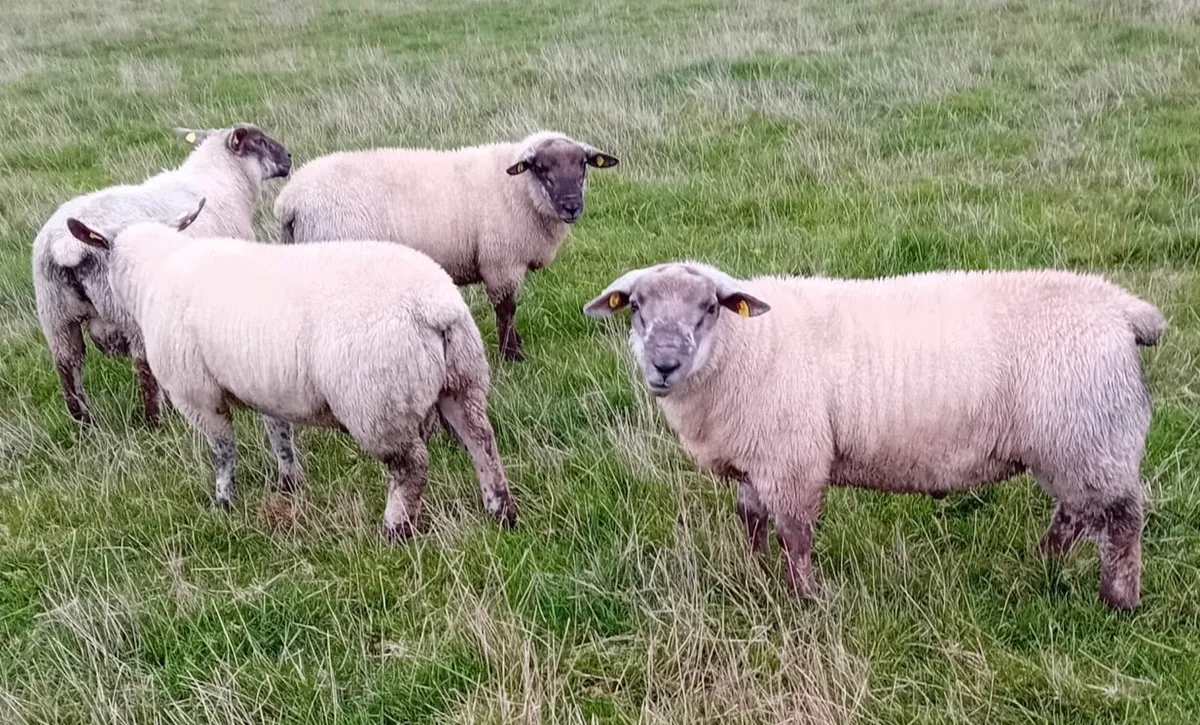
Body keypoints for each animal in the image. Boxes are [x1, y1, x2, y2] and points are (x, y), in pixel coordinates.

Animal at [31, 123, 292, 426]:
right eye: (259, 141)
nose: (289, 158)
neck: (224, 181)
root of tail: (66, 245)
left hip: (56, 316)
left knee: (67, 367)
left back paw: (85, 424)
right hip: (124, 311)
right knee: (143, 365)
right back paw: (156, 421)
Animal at [63, 200, 517, 538]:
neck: (156, 272)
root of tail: (436, 308)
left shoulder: (198, 395)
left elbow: (223, 451)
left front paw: (223, 501)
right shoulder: (267, 387)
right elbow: (279, 434)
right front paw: (289, 482)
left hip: (377, 404)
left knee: (412, 468)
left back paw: (394, 530)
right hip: (462, 381)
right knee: (482, 441)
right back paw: (501, 511)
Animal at [274, 131, 620, 361]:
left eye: (583, 165)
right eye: (541, 168)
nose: (572, 206)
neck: (518, 190)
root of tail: (291, 201)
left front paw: (515, 348)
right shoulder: (500, 262)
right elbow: (506, 310)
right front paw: (511, 356)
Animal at [584, 261, 1165, 610]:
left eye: (708, 308)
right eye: (636, 307)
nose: (664, 365)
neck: (744, 345)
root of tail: (1123, 309)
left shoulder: (792, 457)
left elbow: (795, 534)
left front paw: (806, 600)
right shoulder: (760, 455)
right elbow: (750, 519)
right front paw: (754, 575)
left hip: (1092, 435)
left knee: (1124, 518)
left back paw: (1120, 599)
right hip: (1071, 444)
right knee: (1075, 513)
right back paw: (1042, 564)